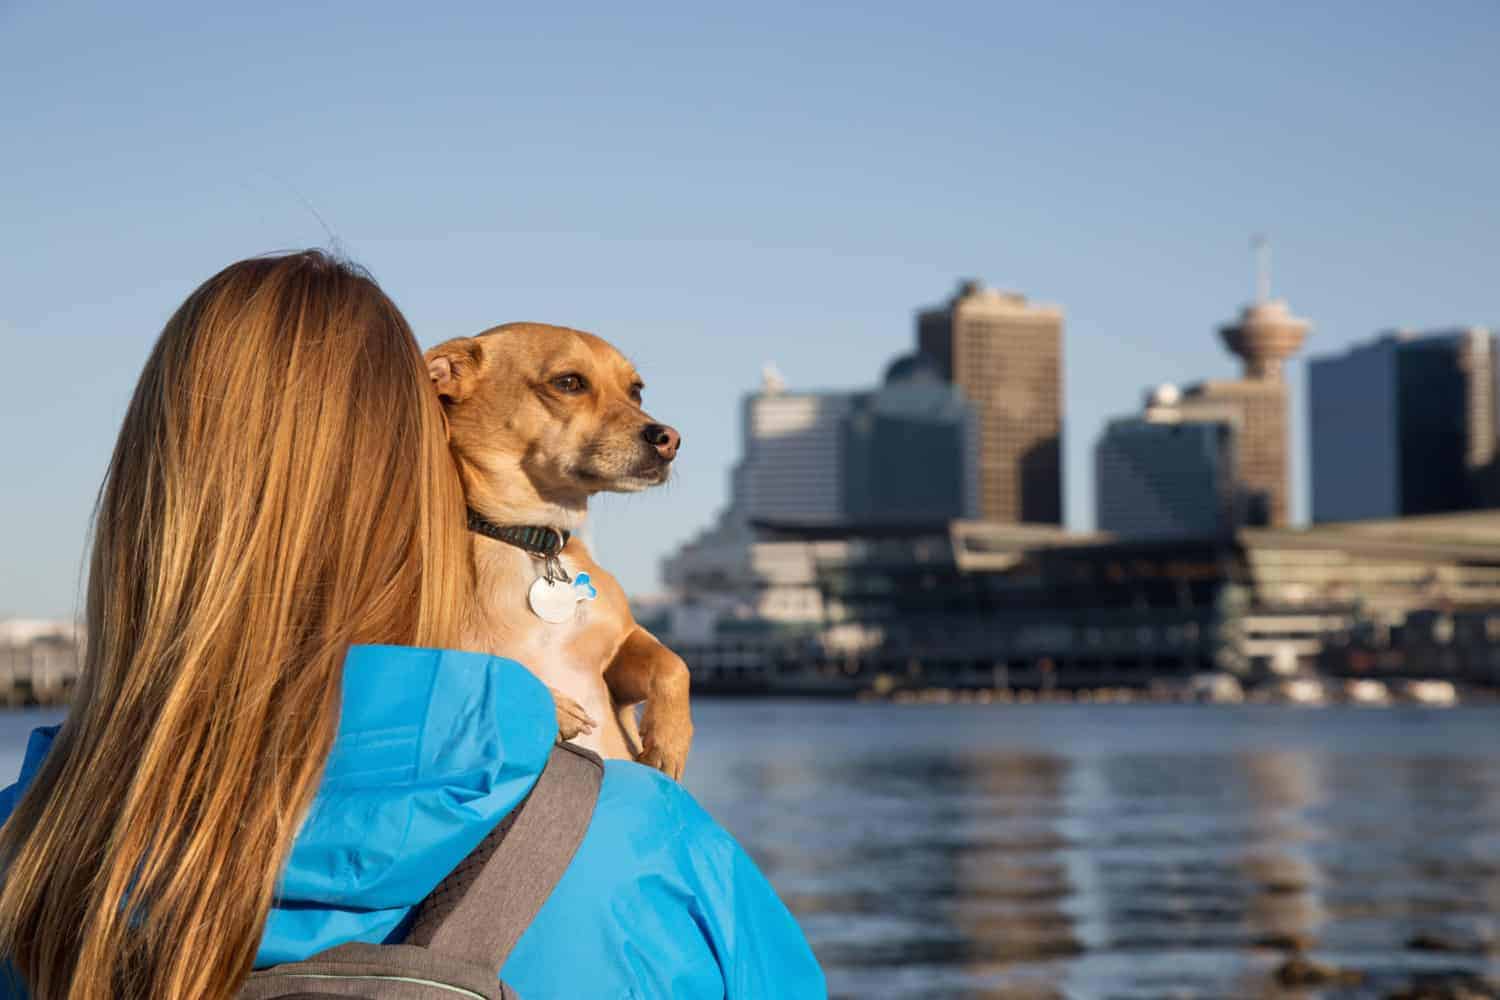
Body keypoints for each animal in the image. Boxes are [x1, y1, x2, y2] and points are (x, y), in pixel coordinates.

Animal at [429, 325, 696, 779]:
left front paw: (669, 741)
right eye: (569, 382)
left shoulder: (625, 643)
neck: (532, 541)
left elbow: (674, 662)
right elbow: (473, 665)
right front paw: (551, 706)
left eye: (636, 391)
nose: (669, 440)